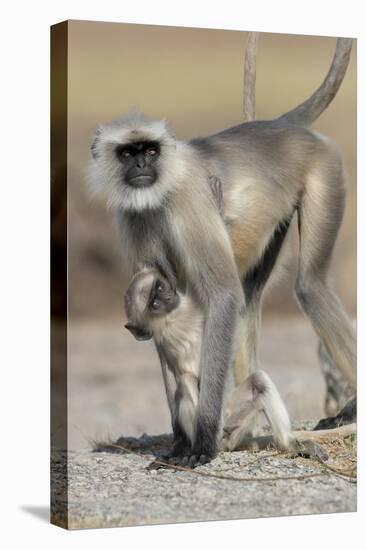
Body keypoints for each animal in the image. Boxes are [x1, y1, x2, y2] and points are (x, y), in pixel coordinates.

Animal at [88, 36, 354, 468]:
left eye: (150, 150)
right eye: (128, 153)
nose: (142, 164)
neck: (159, 193)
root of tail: (281, 126)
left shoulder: (188, 201)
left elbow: (223, 295)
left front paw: (202, 441)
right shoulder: (132, 219)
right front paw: (181, 441)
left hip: (324, 169)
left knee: (302, 286)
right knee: (262, 293)